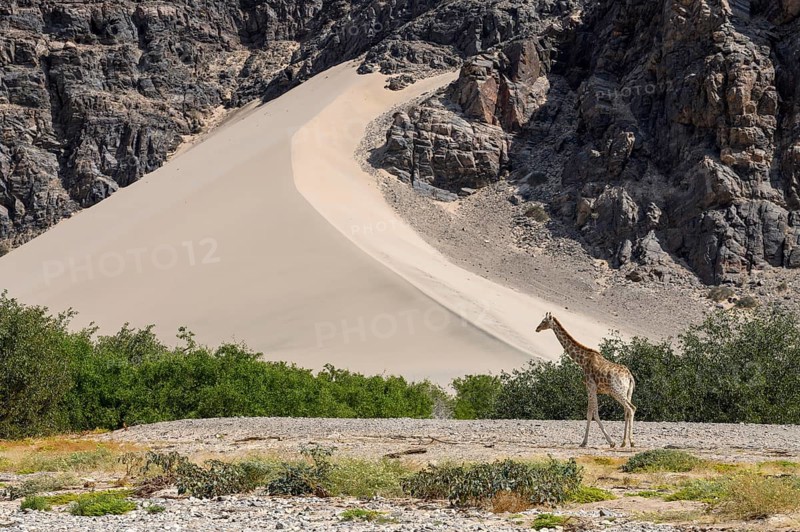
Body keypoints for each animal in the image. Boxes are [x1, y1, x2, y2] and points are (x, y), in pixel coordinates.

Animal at [536, 312, 636, 448]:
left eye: (544, 321)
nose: (537, 328)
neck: (582, 361)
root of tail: (630, 376)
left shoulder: (590, 387)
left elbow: (593, 414)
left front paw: (608, 442)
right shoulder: (592, 389)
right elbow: (590, 413)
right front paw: (586, 442)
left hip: (616, 391)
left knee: (631, 408)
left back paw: (631, 441)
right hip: (628, 392)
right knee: (627, 410)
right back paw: (624, 442)